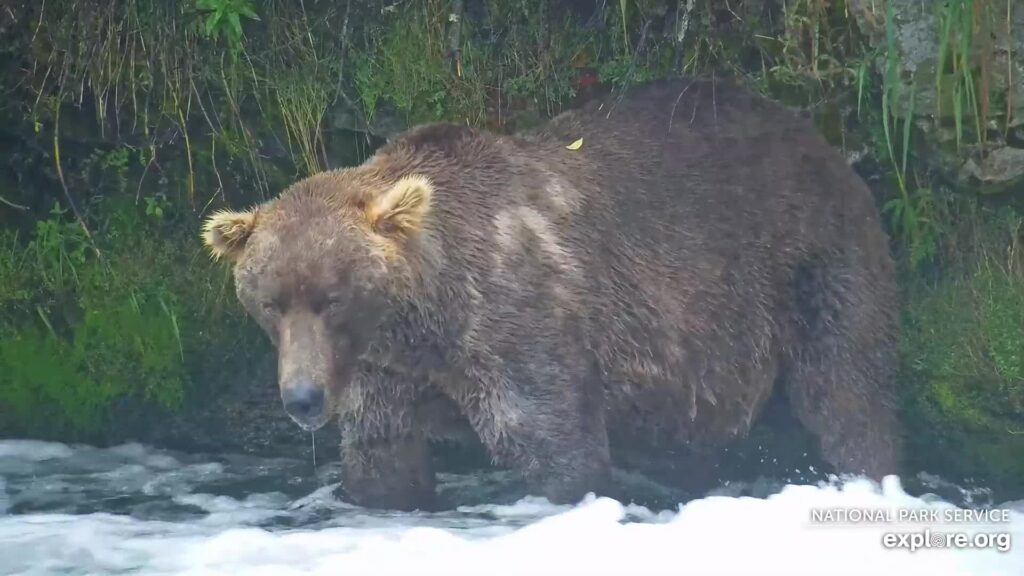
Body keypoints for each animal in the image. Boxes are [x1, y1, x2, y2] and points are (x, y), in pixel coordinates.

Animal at [203, 77, 901, 510]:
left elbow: (554, 444)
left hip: (812, 255)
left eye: (332, 297)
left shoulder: (520, 318)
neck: (426, 321)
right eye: (270, 301)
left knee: (844, 386)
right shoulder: (385, 370)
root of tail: (809, 132)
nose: (302, 398)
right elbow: (382, 457)